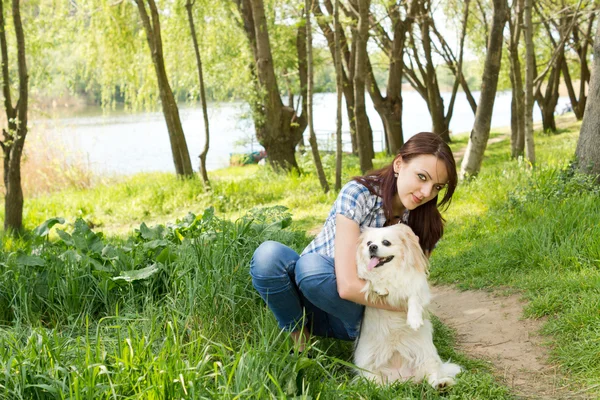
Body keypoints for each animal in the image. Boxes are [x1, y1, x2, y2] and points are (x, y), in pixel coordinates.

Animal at [354, 223, 462, 390]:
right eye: (368, 243)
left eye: (386, 242)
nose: (372, 247)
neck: (389, 273)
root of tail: (402, 378)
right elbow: (372, 281)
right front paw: (380, 287)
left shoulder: (419, 289)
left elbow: (413, 298)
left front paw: (414, 320)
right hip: (368, 368)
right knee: (375, 385)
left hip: (427, 357)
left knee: (432, 377)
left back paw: (441, 384)